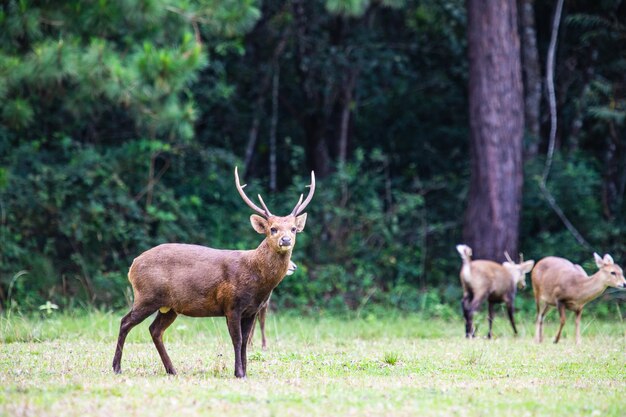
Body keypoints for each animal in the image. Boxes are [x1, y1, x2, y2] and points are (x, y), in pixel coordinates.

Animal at [111, 166, 312, 376]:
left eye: (293, 229)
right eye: (273, 229)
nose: (285, 240)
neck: (257, 281)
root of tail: (132, 265)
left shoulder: (251, 310)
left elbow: (245, 342)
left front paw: (245, 371)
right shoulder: (232, 304)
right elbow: (238, 340)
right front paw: (239, 373)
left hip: (170, 306)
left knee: (154, 330)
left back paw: (172, 369)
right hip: (147, 295)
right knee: (125, 322)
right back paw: (117, 367)